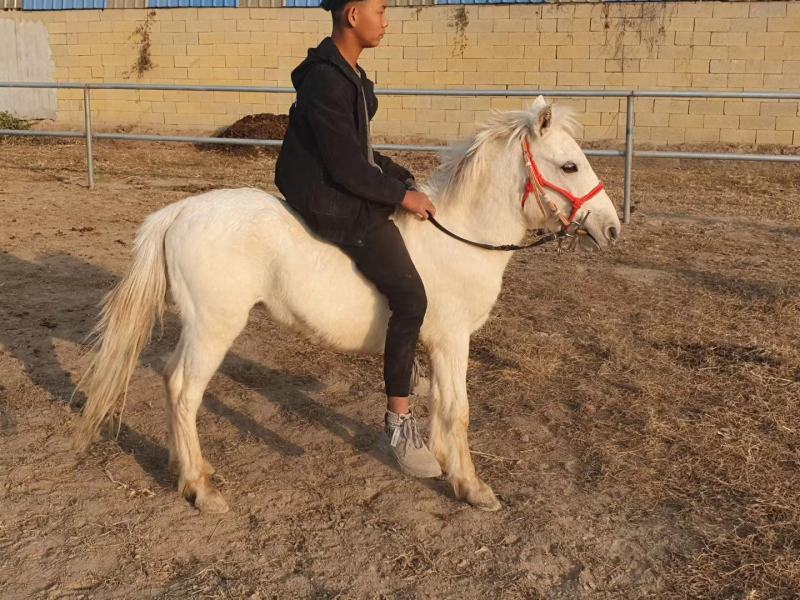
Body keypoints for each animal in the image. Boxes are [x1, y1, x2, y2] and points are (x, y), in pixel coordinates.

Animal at [74, 96, 622, 514]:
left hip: (197, 327)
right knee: (185, 391)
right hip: (214, 327)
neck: (459, 235)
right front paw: (472, 487)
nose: (612, 227)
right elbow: (458, 410)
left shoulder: (434, 345)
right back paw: (200, 489)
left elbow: (437, 405)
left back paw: (186, 469)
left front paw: (442, 462)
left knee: (171, 380)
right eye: (569, 165)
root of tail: (179, 210)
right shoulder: (451, 340)